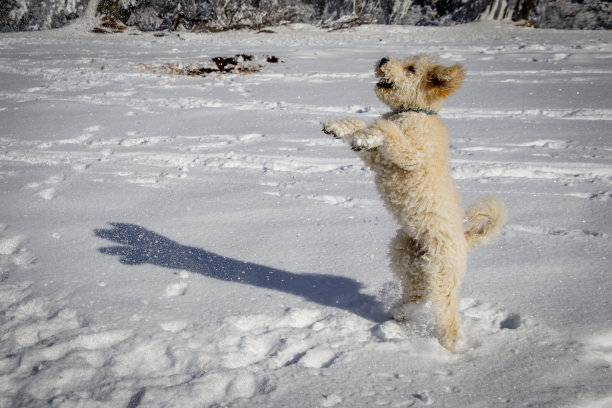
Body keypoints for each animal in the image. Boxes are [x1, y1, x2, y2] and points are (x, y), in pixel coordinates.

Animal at [322, 55, 504, 352]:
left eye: (411, 69)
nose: (383, 59)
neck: (414, 112)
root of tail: (465, 240)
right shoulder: (378, 160)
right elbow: (363, 124)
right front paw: (339, 127)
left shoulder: (410, 154)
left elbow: (387, 130)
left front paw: (365, 135)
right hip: (404, 254)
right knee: (417, 293)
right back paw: (399, 312)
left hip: (442, 272)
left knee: (446, 312)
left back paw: (451, 348)